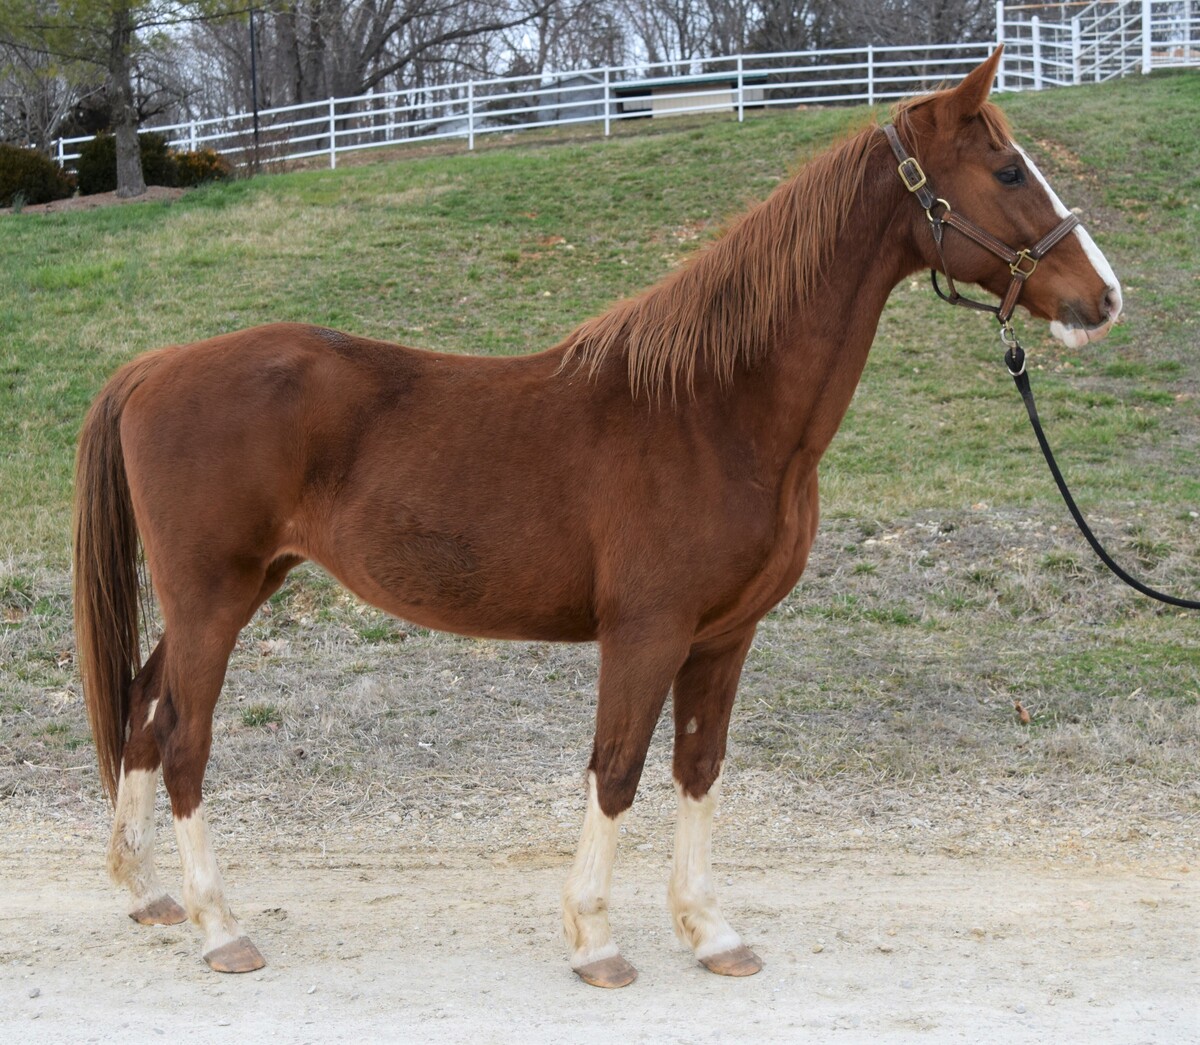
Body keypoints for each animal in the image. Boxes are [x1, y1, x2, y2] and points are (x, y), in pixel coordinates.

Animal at [73, 49, 1121, 988]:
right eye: (1008, 170)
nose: (1104, 297)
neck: (715, 408)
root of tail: (154, 367)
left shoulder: (723, 637)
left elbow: (700, 767)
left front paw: (711, 931)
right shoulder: (645, 629)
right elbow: (616, 769)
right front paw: (596, 939)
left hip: (231, 590)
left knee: (141, 711)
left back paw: (147, 892)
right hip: (213, 597)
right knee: (182, 738)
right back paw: (219, 927)